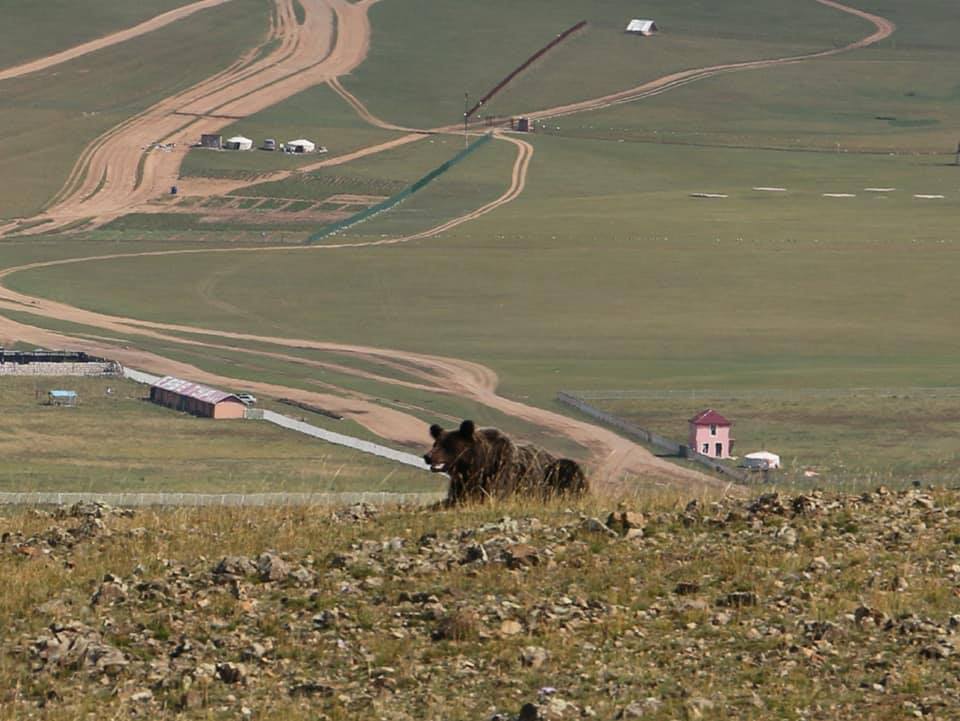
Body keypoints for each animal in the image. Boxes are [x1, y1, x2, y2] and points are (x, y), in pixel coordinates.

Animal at [424, 420, 588, 504]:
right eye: (435, 443)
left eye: (448, 445)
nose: (427, 456)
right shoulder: (462, 483)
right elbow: (454, 498)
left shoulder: (502, 474)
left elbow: (495, 494)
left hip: (557, 471)